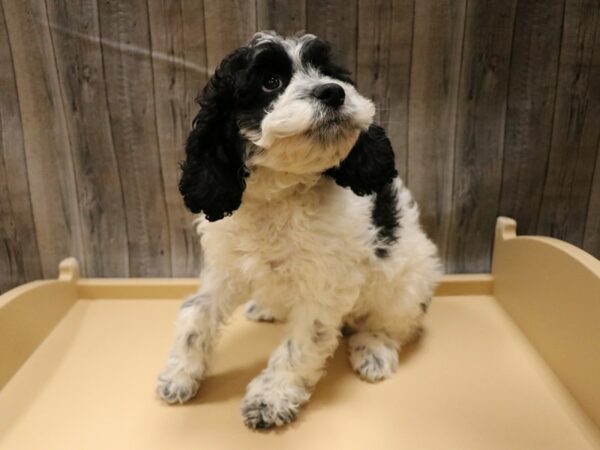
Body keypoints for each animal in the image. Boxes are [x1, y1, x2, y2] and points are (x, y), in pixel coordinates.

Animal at [157, 31, 442, 428]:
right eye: (271, 82)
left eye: (327, 72)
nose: (333, 92)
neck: (281, 194)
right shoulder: (224, 266)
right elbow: (196, 314)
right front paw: (180, 374)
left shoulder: (325, 285)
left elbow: (302, 343)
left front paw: (270, 398)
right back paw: (265, 307)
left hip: (407, 282)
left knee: (395, 324)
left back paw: (374, 350)